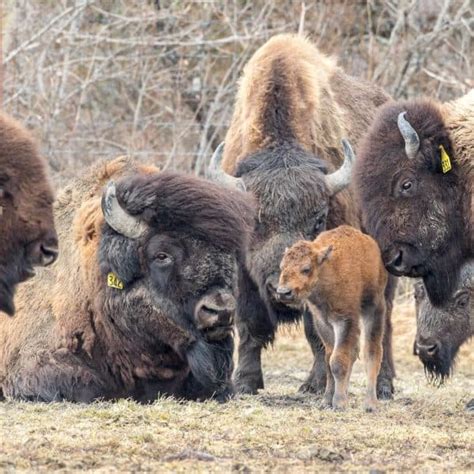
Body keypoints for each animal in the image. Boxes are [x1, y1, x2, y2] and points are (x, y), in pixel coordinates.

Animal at [278, 226, 388, 412]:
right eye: (282, 267)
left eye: (306, 268)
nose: (283, 293)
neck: (327, 269)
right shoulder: (323, 323)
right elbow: (329, 360)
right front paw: (327, 400)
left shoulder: (345, 321)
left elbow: (338, 361)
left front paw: (339, 403)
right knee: (354, 352)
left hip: (374, 308)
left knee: (372, 352)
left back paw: (370, 403)